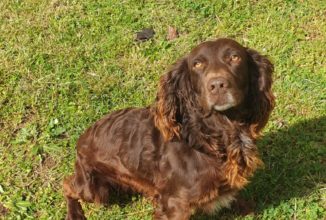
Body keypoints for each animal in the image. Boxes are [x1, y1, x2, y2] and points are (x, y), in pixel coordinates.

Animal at [63, 38, 276, 219]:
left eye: (235, 57)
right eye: (197, 64)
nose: (217, 85)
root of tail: (81, 140)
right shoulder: (175, 204)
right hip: (93, 189)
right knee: (67, 185)